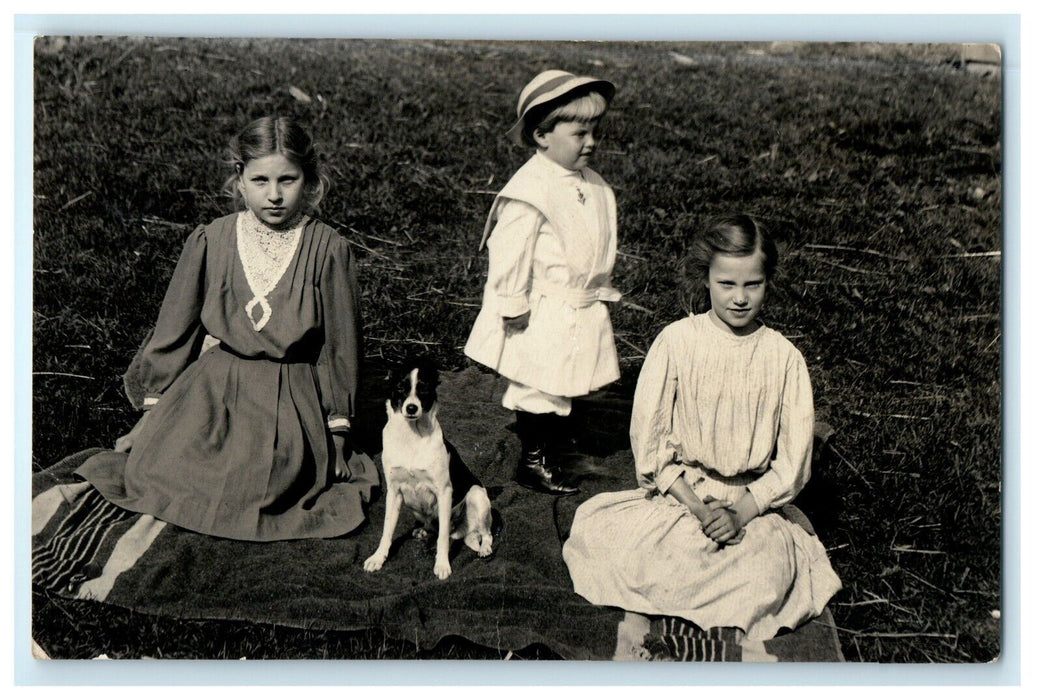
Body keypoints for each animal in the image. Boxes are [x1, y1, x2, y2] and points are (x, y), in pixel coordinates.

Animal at [364, 358, 493, 575]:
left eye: (423, 389)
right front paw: (378, 558)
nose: (411, 408)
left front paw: (442, 564)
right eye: (401, 388)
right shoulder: (394, 492)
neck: (411, 436)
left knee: (483, 534)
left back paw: (484, 549)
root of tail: (463, 528)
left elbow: (442, 539)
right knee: (445, 531)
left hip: (476, 496)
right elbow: (387, 531)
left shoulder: (444, 491)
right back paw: (423, 531)